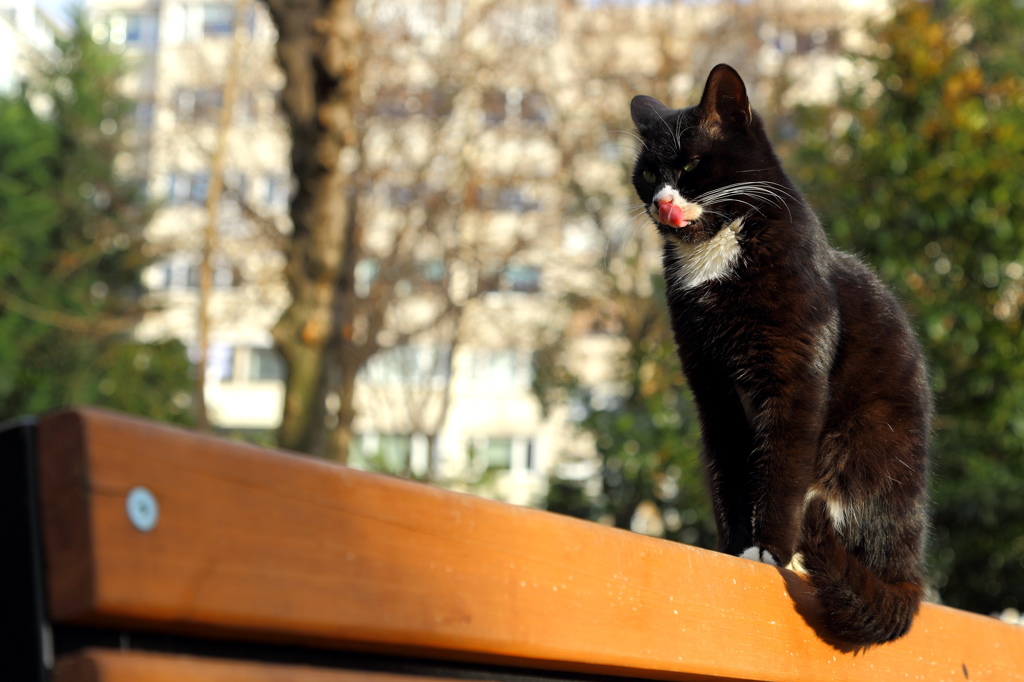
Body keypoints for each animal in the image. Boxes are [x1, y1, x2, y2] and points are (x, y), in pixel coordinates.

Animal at [626, 62, 933, 643]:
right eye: (648, 175)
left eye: (691, 163)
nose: (661, 201)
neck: (713, 259)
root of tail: (910, 568)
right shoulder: (713, 390)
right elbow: (728, 469)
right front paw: (734, 550)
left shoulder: (794, 375)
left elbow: (782, 464)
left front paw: (767, 550)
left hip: (866, 449)